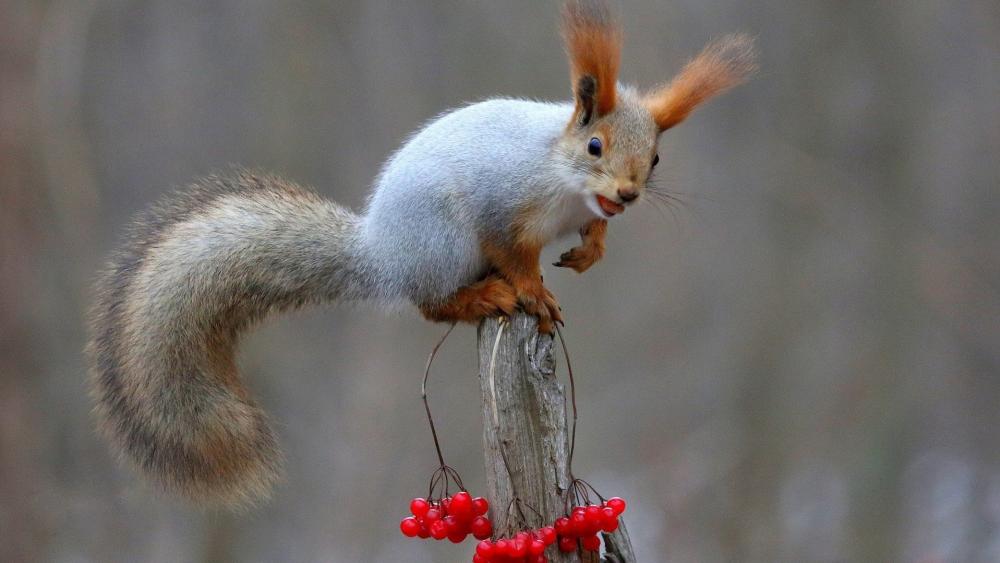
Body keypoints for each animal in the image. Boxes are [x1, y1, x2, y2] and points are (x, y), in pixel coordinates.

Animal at [87, 0, 755, 508]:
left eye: (657, 158)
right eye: (594, 145)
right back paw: (486, 295)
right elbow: (513, 252)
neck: (561, 179)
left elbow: (592, 234)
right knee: (431, 305)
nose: (627, 194)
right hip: (444, 243)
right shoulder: (499, 206)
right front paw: (535, 290)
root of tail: (381, 255)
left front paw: (591, 251)